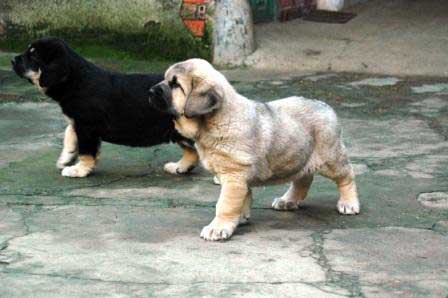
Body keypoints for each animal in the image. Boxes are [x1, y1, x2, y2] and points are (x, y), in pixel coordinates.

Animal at [11, 37, 198, 177]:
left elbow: (86, 151)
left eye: (33, 55)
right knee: (192, 152)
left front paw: (79, 169)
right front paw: (66, 157)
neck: (76, 80)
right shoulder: (78, 122)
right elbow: (69, 133)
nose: (12, 60)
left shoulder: (87, 126)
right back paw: (179, 167)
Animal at [149, 59, 358, 241]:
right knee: (303, 179)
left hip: (330, 158)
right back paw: (288, 200)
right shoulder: (239, 176)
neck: (216, 120)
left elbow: (225, 204)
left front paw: (218, 227)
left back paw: (348, 203)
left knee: (346, 176)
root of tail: (325, 105)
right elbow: (243, 199)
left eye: (175, 84)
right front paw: (239, 219)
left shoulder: (233, 176)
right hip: (299, 156)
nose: (150, 90)